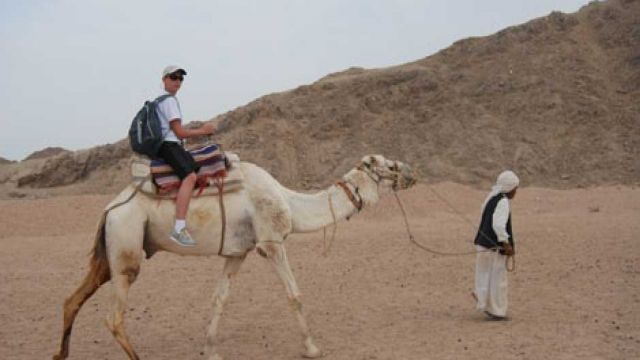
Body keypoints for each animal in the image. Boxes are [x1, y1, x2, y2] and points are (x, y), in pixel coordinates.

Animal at [52, 154, 418, 360]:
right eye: (388, 165)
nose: (412, 172)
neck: (288, 201)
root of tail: (109, 209)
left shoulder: (237, 252)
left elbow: (220, 298)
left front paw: (211, 351)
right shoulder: (271, 242)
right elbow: (294, 295)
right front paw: (313, 348)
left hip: (111, 251)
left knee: (73, 299)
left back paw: (59, 354)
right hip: (127, 243)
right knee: (113, 316)